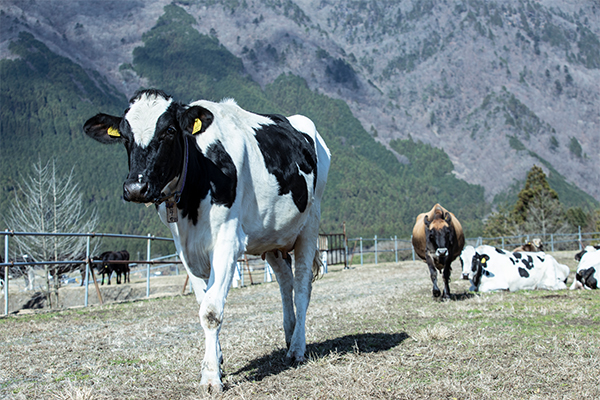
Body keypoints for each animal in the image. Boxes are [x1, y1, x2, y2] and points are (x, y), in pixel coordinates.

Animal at [82, 89, 330, 392]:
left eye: (169, 131)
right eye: (125, 136)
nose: (135, 188)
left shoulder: (227, 241)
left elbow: (210, 311)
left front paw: (211, 377)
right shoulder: (184, 248)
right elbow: (203, 301)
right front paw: (217, 360)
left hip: (309, 224)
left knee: (302, 285)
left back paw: (297, 347)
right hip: (272, 236)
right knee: (285, 282)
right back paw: (289, 333)